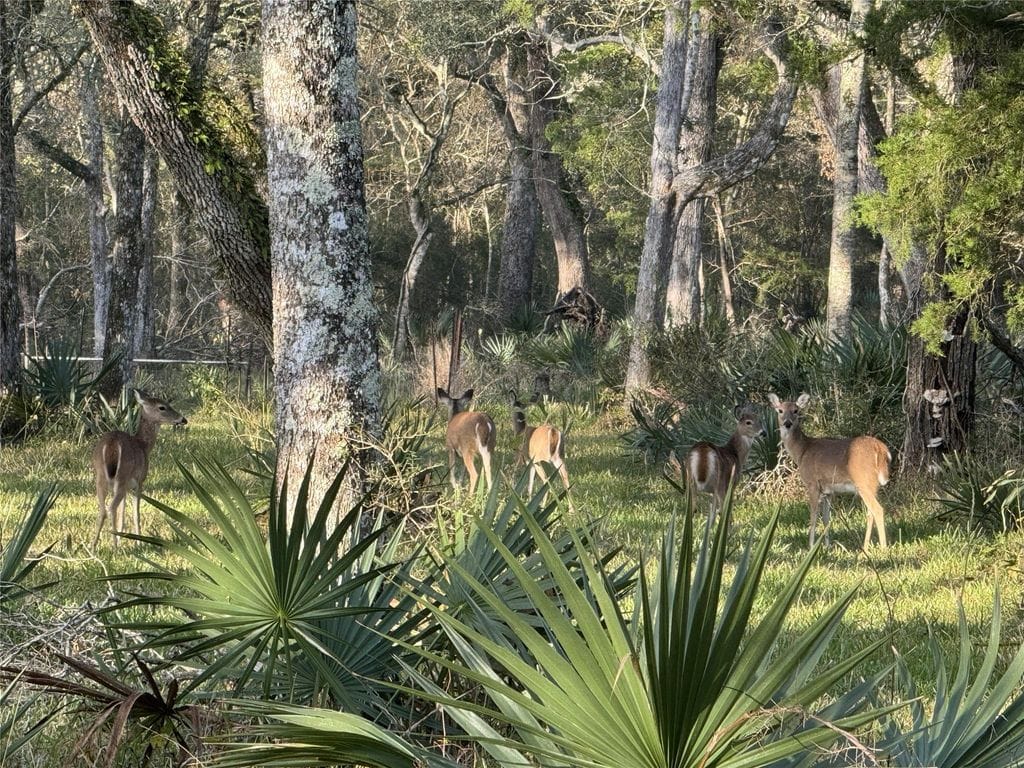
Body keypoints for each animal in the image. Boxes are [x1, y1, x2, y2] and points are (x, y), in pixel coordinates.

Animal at [92, 389, 187, 548]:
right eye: (162, 407)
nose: (183, 419)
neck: (143, 445)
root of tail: (111, 445)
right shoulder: (139, 481)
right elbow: (136, 513)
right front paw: (139, 542)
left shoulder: (126, 487)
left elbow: (123, 514)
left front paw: (123, 538)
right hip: (122, 475)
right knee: (111, 508)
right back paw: (114, 546)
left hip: (101, 477)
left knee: (103, 510)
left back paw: (93, 546)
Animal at [768, 393, 892, 549]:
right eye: (780, 410)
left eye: (796, 410)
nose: (787, 423)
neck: (802, 451)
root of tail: (881, 449)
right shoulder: (828, 491)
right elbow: (826, 518)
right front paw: (827, 546)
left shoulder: (812, 483)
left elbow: (813, 517)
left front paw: (811, 547)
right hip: (872, 485)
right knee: (870, 513)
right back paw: (864, 548)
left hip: (864, 481)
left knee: (877, 510)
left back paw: (883, 548)